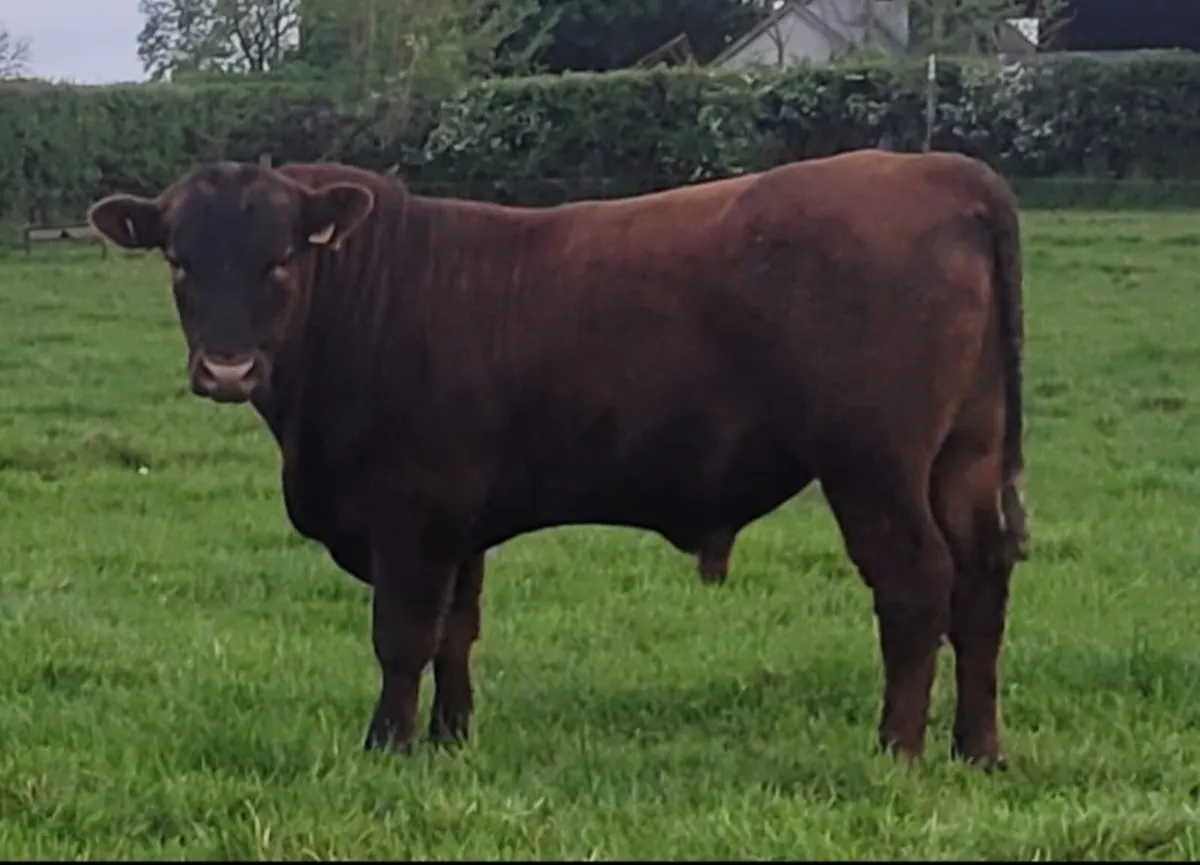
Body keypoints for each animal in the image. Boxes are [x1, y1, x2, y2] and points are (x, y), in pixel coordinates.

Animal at [87, 149, 1029, 770]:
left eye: (281, 259)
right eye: (179, 260)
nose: (226, 369)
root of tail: (938, 169)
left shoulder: (412, 516)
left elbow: (402, 636)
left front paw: (388, 744)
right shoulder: (459, 524)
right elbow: (456, 632)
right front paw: (450, 737)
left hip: (873, 466)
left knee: (916, 586)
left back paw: (896, 748)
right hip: (965, 454)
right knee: (981, 583)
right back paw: (976, 748)